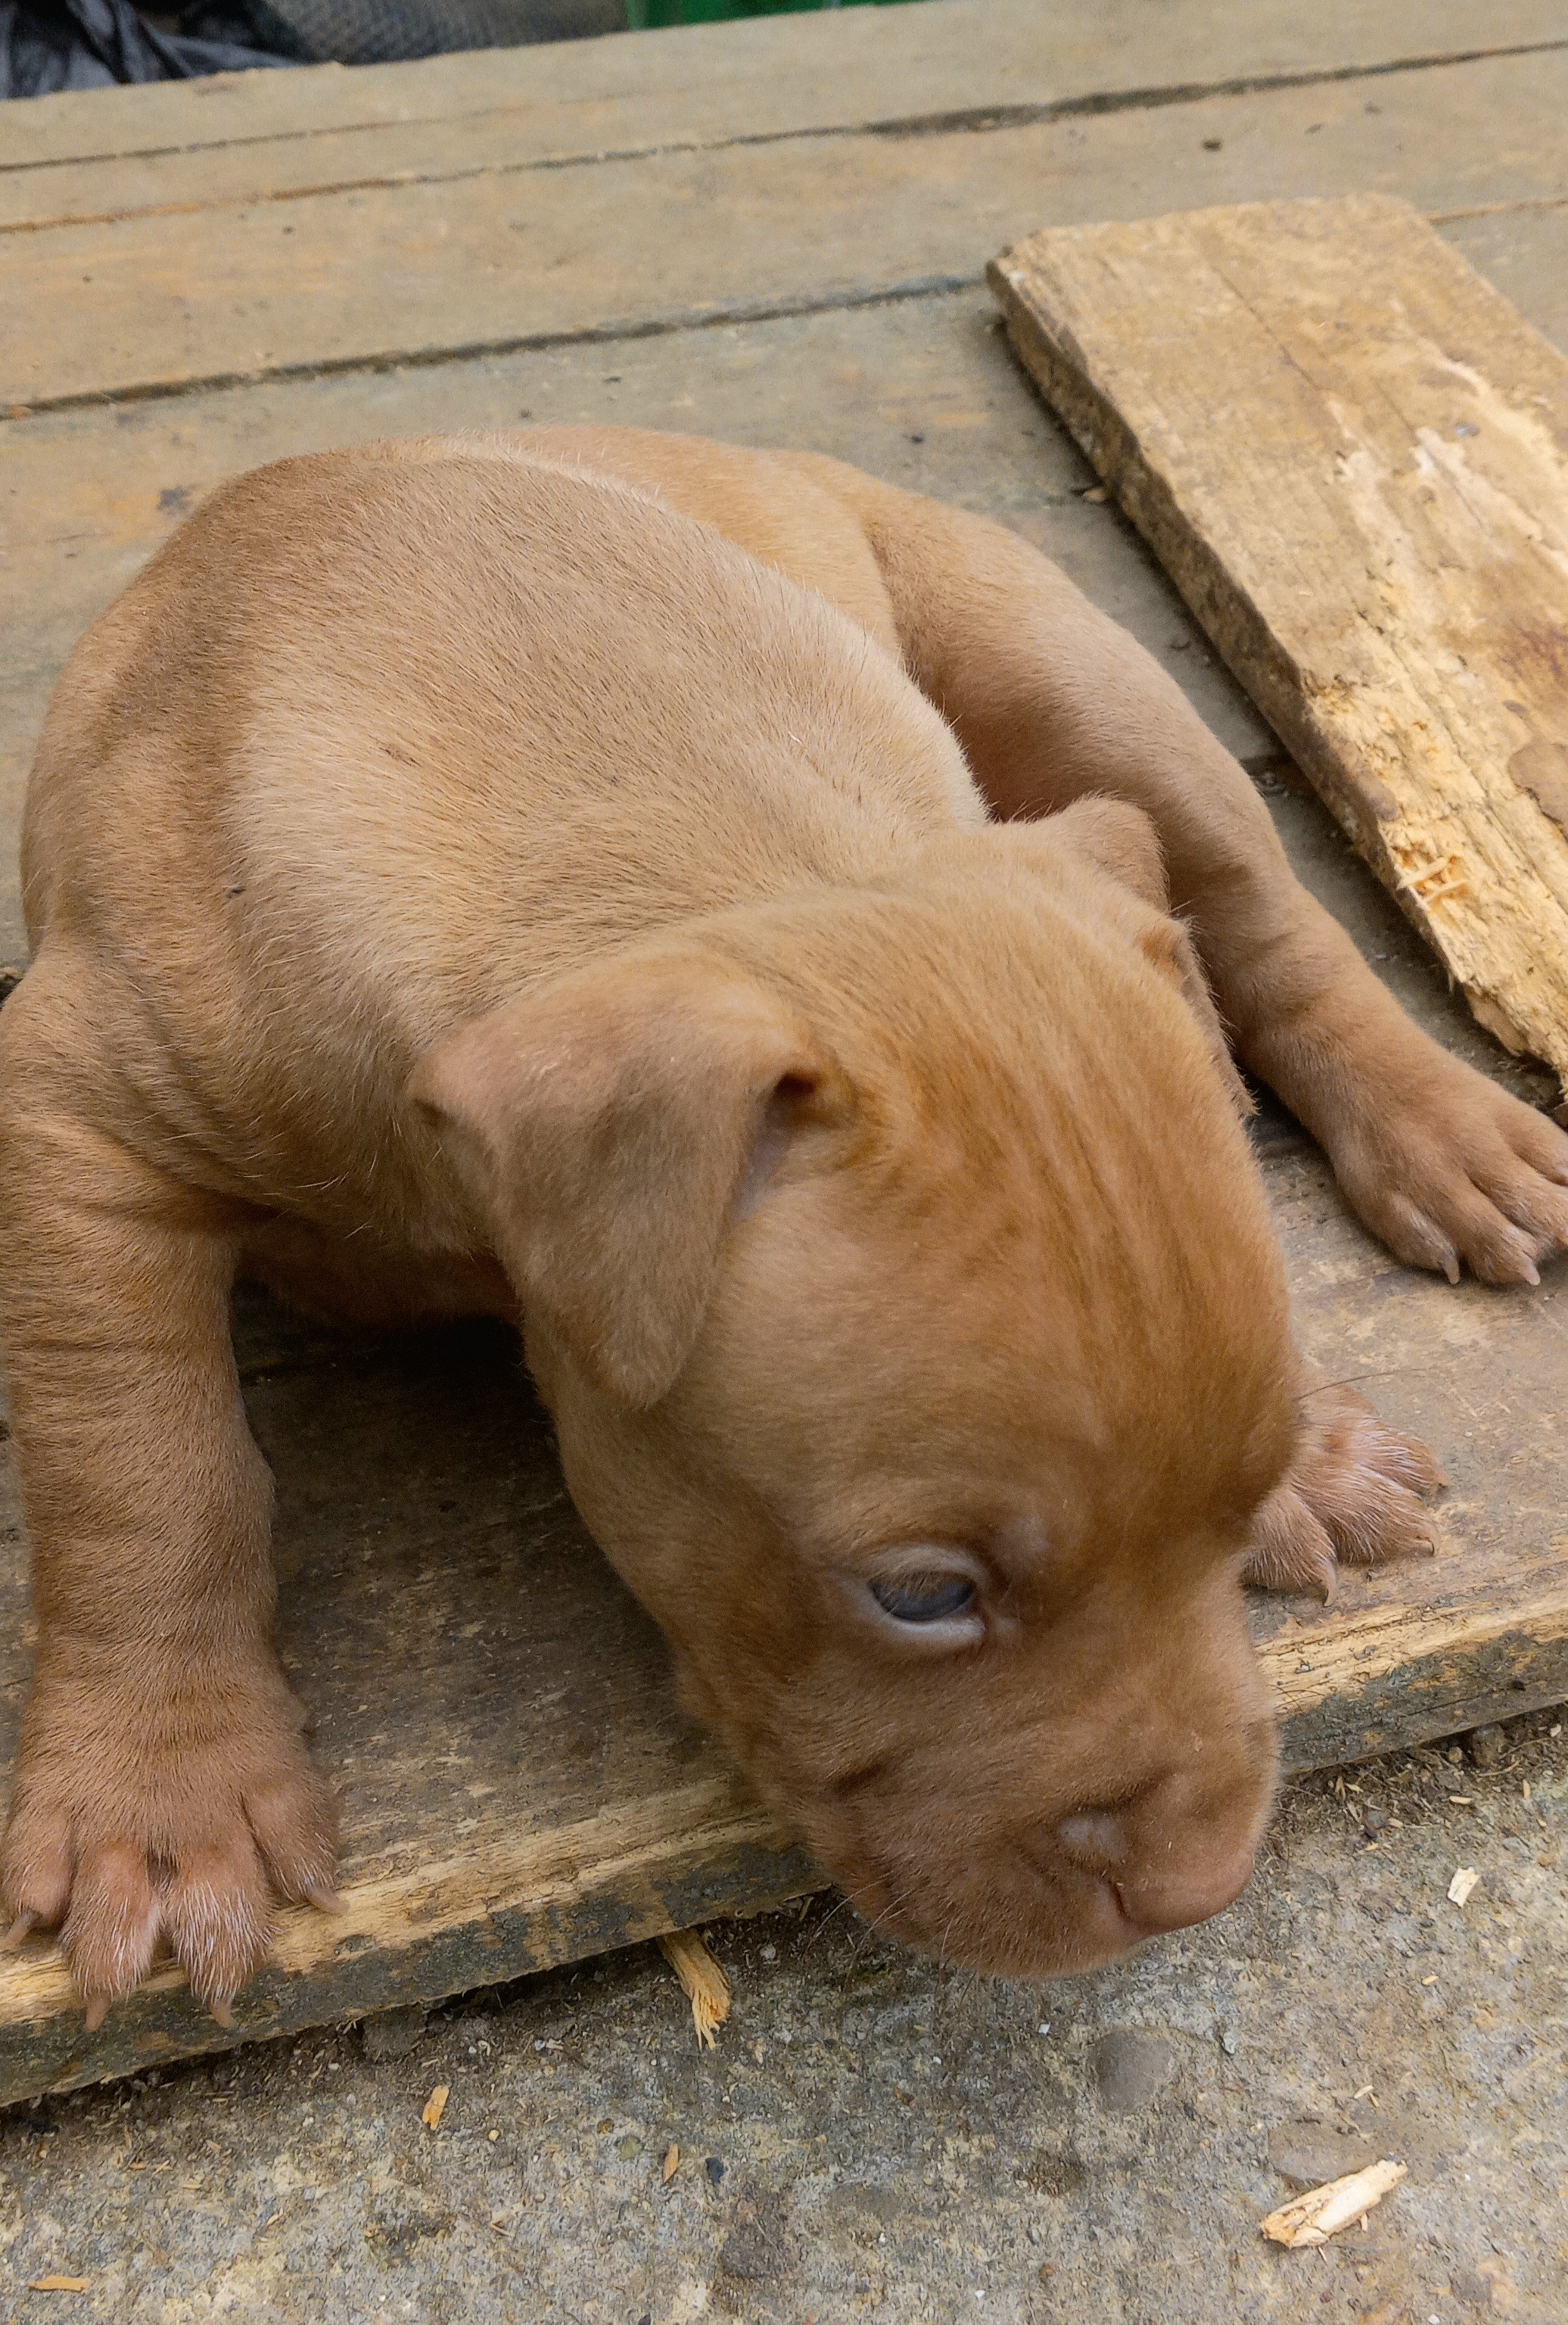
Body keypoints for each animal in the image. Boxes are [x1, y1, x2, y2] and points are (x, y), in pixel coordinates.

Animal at [0, 432, 1554, 2018]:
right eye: (922, 1595)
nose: (1203, 1887)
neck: (685, 829)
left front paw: (1301, 1447)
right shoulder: (79, 1119)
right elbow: (139, 1465)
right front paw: (164, 1795)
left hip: (1086, 687)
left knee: (1256, 909)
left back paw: (1448, 1135)